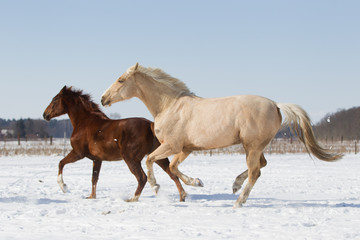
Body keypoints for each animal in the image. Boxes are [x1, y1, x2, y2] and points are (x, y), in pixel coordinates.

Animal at [43, 85, 186, 202]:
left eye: (55, 99)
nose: (45, 114)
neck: (84, 123)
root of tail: (150, 124)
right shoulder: (96, 159)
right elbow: (94, 178)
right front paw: (91, 196)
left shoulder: (78, 153)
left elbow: (61, 163)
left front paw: (64, 187)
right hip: (157, 157)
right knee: (172, 173)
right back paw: (182, 197)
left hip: (131, 159)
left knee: (142, 177)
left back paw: (133, 198)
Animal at [101, 63, 344, 208]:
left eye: (121, 80)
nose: (104, 98)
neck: (169, 106)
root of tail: (276, 104)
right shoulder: (185, 149)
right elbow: (174, 168)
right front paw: (197, 182)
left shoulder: (172, 145)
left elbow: (151, 161)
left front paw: (156, 186)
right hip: (254, 147)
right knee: (261, 165)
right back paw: (235, 185)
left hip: (252, 146)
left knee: (256, 172)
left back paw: (238, 201)